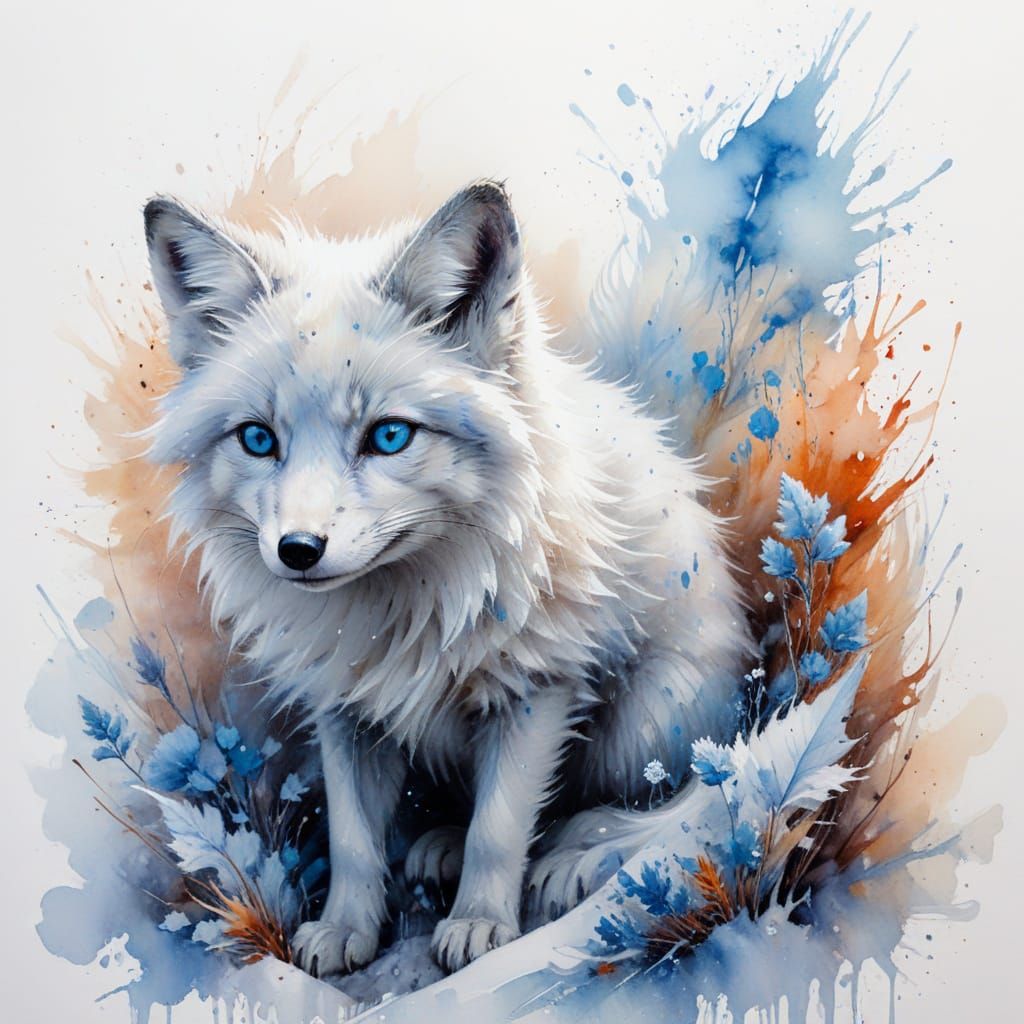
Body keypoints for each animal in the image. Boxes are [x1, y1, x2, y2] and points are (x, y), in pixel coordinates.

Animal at [143, 181, 751, 976]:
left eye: (389, 436)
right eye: (257, 439)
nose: (299, 549)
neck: (403, 614)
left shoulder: (538, 690)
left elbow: (500, 830)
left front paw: (480, 925)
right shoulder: (345, 710)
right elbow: (354, 842)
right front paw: (345, 930)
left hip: (650, 720)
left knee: (660, 801)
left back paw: (579, 854)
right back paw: (443, 847)